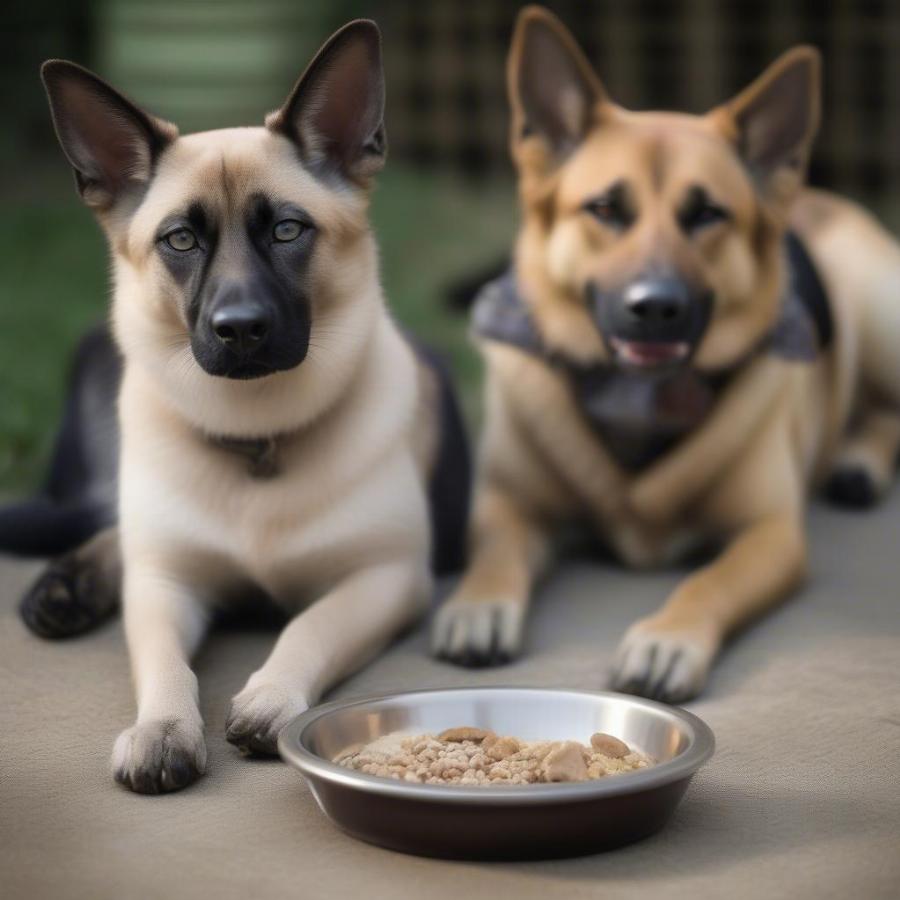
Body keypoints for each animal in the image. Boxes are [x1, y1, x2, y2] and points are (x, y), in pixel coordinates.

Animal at [5, 19, 472, 796]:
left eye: (287, 230)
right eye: (180, 239)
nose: (241, 329)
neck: (256, 439)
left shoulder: (384, 578)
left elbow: (307, 626)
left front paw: (273, 695)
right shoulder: (166, 585)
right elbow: (163, 663)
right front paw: (163, 728)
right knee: (117, 533)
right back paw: (71, 583)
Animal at [432, 7, 900, 704]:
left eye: (707, 214)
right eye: (604, 208)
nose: (654, 306)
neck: (637, 399)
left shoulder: (772, 534)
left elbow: (710, 579)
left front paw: (667, 639)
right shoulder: (506, 500)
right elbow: (495, 549)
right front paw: (478, 603)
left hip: (878, 315)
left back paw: (860, 462)